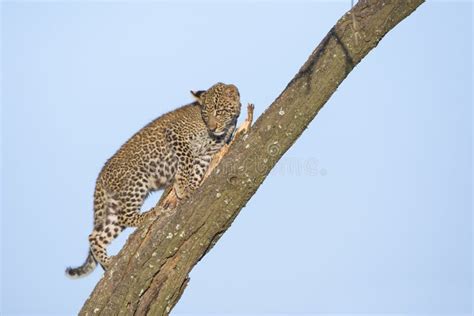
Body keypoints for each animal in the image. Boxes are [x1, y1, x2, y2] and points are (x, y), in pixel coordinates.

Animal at [65, 82, 241, 278]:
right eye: (205, 113)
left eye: (219, 111)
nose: (212, 127)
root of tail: (101, 176)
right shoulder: (176, 135)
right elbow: (186, 162)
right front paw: (182, 188)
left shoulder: (206, 155)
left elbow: (197, 171)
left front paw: (192, 188)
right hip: (135, 183)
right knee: (124, 217)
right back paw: (151, 214)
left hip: (114, 204)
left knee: (96, 236)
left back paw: (108, 263)